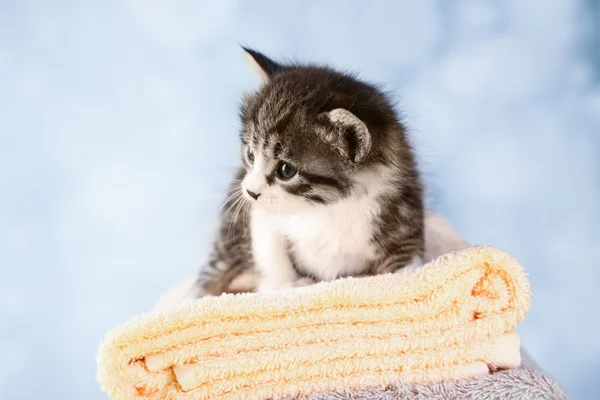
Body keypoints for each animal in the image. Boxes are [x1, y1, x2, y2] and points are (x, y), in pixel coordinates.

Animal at [195, 47, 424, 296]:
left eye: (286, 170)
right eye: (250, 155)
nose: (250, 192)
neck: (326, 209)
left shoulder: (403, 217)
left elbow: (410, 264)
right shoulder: (260, 217)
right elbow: (271, 253)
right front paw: (286, 285)